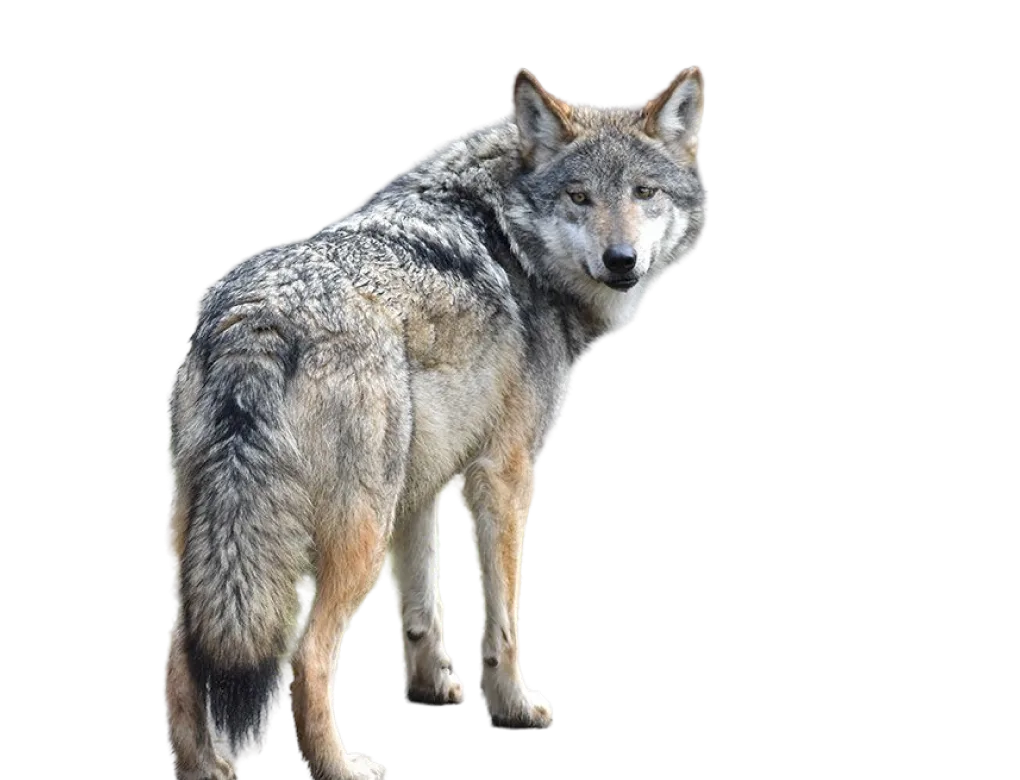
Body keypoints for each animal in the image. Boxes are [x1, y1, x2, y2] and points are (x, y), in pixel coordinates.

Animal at [163, 65, 708, 779]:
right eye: (579, 197)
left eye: (644, 192)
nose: (621, 260)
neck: (510, 233)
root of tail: (258, 320)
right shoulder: (505, 475)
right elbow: (503, 619)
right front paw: (516, 708)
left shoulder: (423, 484)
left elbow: (424, 607)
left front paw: (432, 689)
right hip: (356, 533)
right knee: (307, 654)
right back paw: (345, 767)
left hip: (212, 541)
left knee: (177, 647)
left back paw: (205, 768)